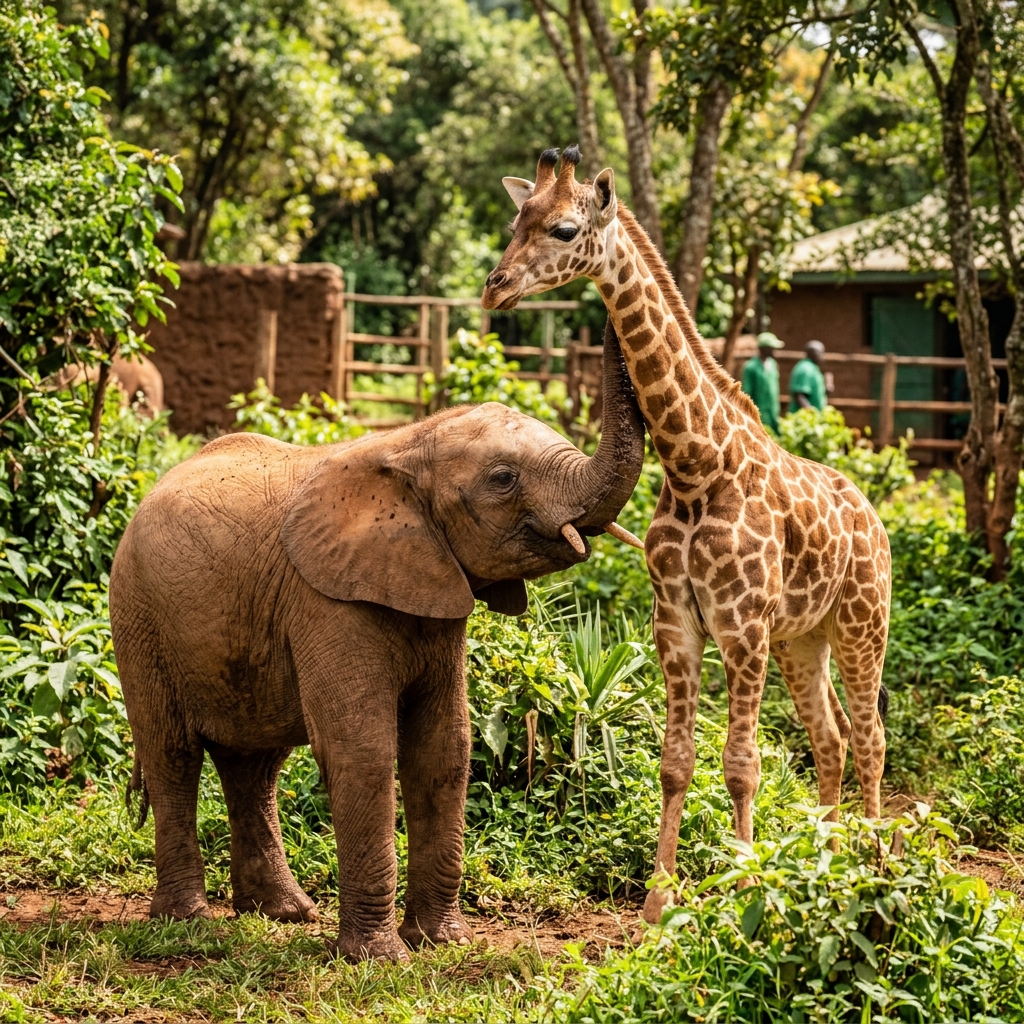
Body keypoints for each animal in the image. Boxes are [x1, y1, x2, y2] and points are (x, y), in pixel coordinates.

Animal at [109, 322, 646, 961]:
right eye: (502, 479)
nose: (606, 315)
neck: (408, 444)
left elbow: (445, 749)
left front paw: (442, 942)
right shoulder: (325, 600)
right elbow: (361, 749)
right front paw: (379, 958)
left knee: (254, 765)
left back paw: (283, 913)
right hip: (138, 615)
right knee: (172, 754)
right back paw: (187, 923)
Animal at [482, 146, 890, 925]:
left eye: (565, 227)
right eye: (515, 221)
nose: (495, 287)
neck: (698, 464)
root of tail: (875, 520)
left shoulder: (743, 626)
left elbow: (742, 765)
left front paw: (745, 886)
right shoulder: (676, 621)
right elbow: (675, 764)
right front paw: (658, 899)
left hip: (863, 624)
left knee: (870, 735)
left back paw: (874, 867)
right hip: (805, 639)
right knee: (829, 739)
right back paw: (824, 863)